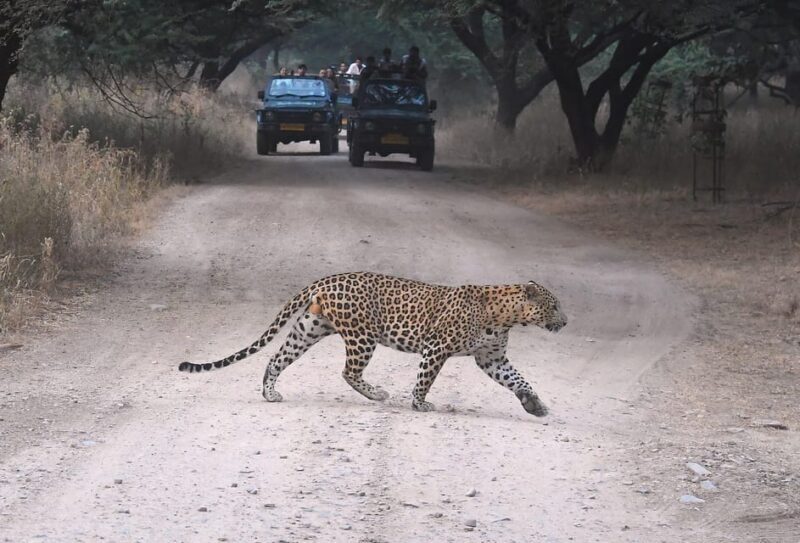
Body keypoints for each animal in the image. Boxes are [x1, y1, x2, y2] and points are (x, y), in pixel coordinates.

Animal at [178, 272, 567, 416]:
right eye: (554, 305)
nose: (565, 322)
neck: (508, 315)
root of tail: (325, 279)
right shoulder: (437, 347)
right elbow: (425, 379)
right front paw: (419, 404)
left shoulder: (491, 359)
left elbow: (518, 379)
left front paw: (534, 404)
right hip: (362, 336)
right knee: (348, 371)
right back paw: (378, 394)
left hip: (308, 328)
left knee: (276, 358)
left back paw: (270, 393)